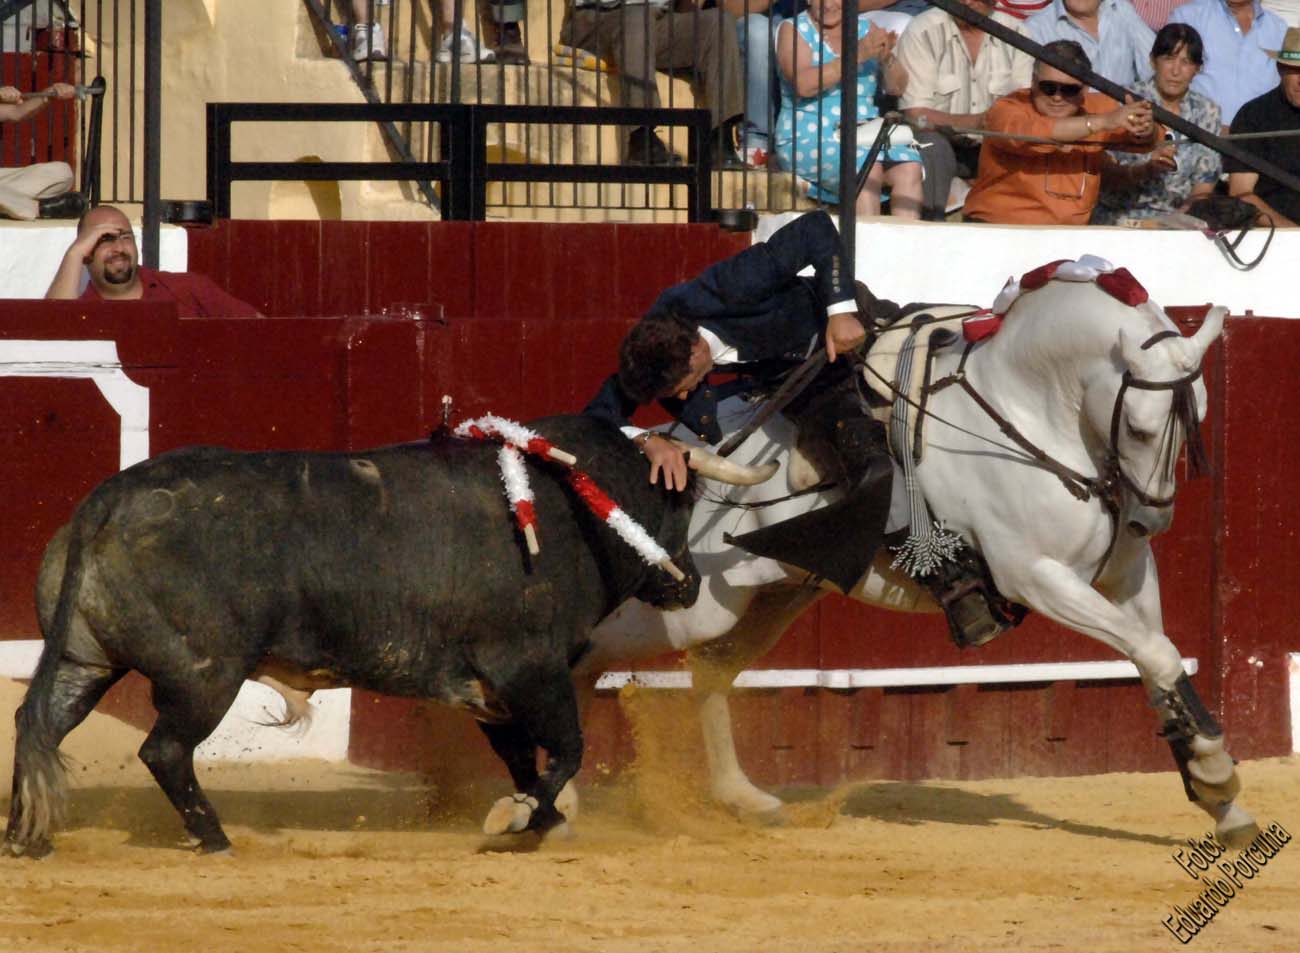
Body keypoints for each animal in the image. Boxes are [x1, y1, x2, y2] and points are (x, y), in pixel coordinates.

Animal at [2, 413, 702, 852]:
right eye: (680, 510)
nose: (690, 583)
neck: (571, 505)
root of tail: (109, 499)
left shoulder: (490, 692)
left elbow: (524, 758)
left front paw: (542, 819)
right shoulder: (530, 668)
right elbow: (567, 749)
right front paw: (522, 818)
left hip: (85, 661)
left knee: (41, 724)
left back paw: (24, 837)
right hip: (205, 676)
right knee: (165, 751)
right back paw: (216, 839)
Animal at [579, 271, 1258, 842]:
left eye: (1197, 414)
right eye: (1141, 428)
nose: (1150, 520)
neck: (1028, 412)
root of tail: (681, 451)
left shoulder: (1126, 576)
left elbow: (1160, 661)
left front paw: (1220, 796)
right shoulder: (1036, 578)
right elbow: (1157, 654)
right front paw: (1216, 777)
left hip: (776, 596)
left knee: (712, 673)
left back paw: (743, 799)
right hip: (692, 603)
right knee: (596, 651)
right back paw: (564, 795)